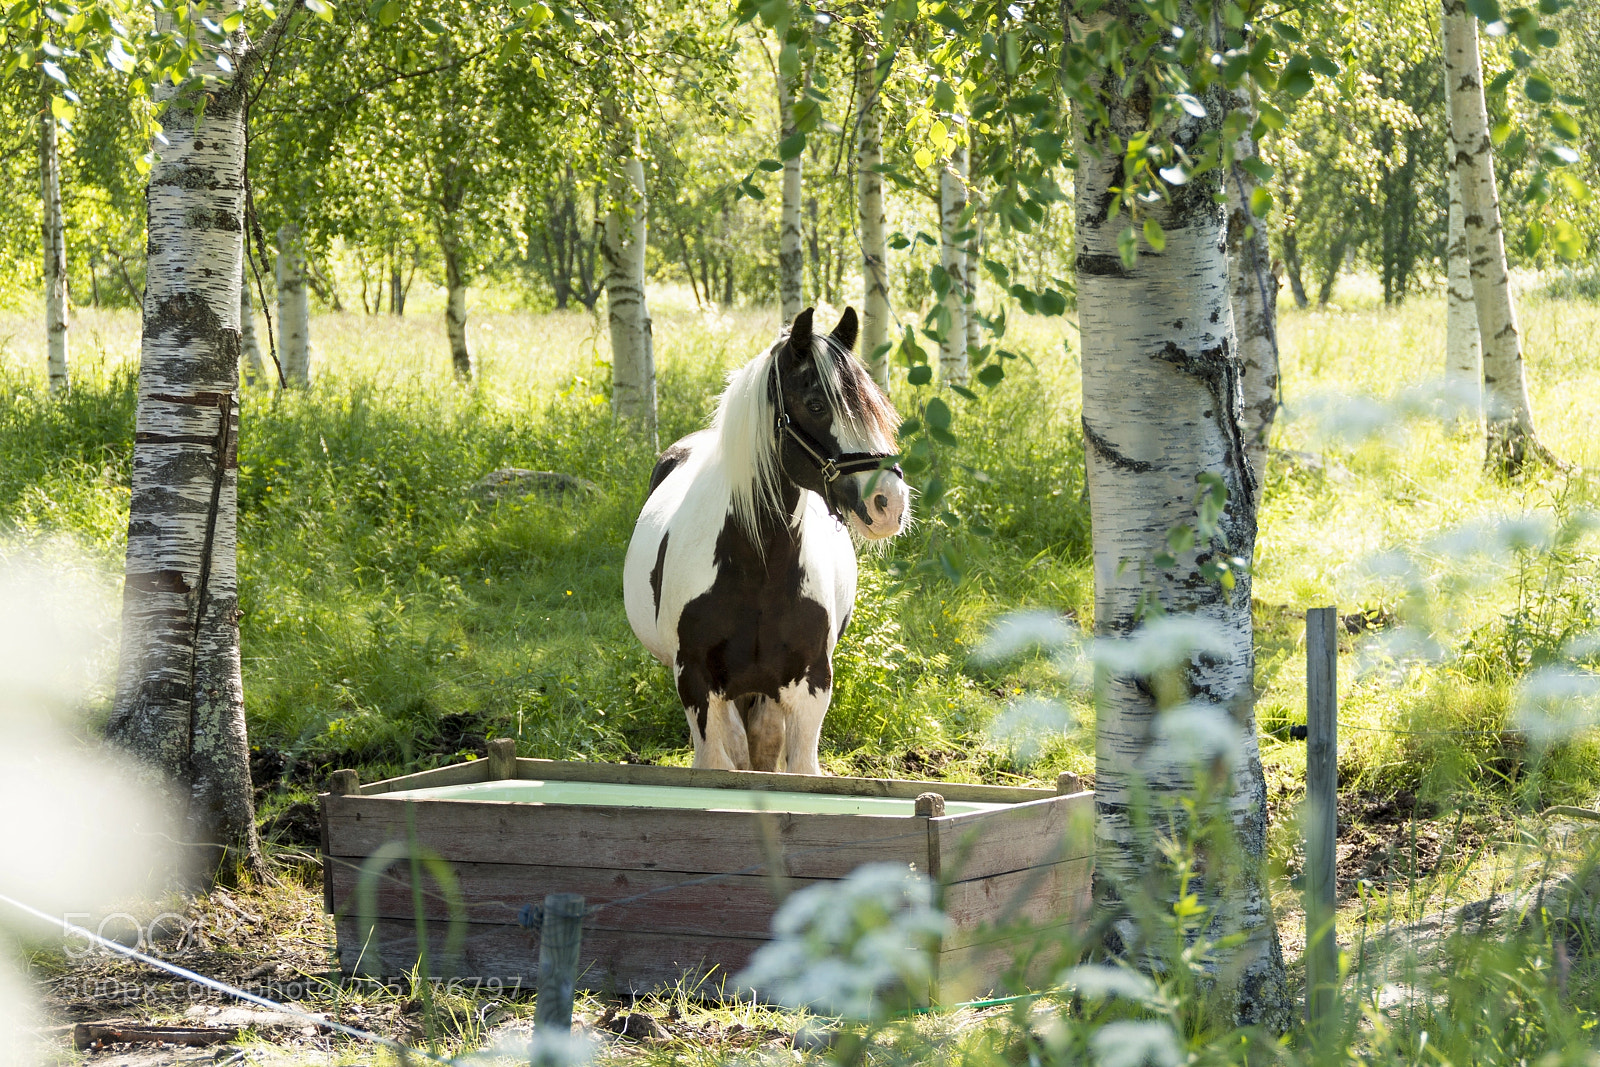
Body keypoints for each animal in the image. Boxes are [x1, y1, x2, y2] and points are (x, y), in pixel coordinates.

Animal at [622, 306, 911, 773]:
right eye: (815, 405)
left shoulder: (812, 686)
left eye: (876, 407)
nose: (890, 503)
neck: (757, 569)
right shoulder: (696, 684)